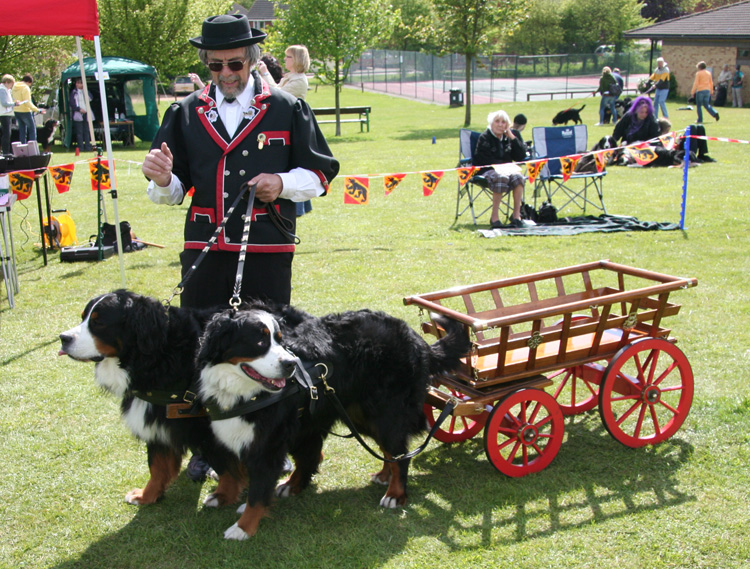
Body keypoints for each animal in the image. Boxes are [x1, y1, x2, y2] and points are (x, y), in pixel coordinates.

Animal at [197, 300, 472, 540]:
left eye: (280, 339)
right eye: (259, 340)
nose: (290, 364)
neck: (244, 392)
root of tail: (414, 337)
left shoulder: (269, 443)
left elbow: (258, 492)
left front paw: (243, 527)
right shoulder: (229, 431)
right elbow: (230, 470)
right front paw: (223, 495)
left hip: (386, 413)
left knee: (400, 455)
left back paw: (395, 493)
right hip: (359, 414)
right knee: (390, 452)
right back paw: (382, 475)